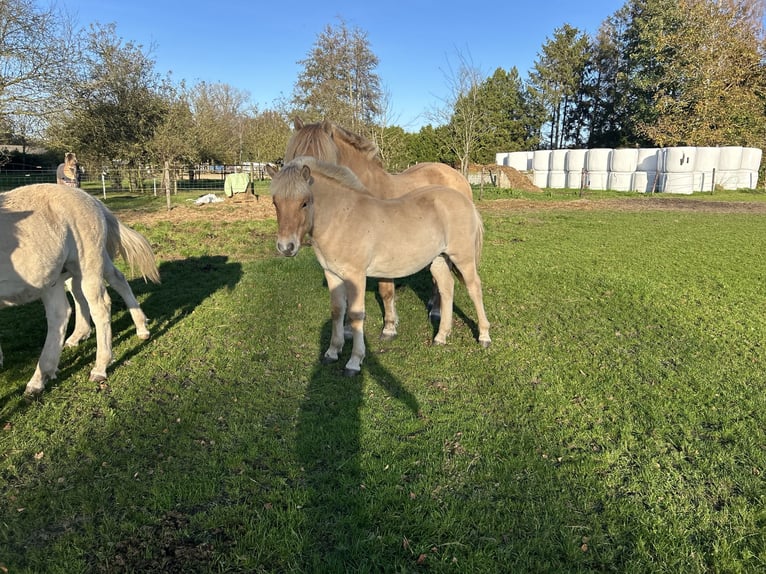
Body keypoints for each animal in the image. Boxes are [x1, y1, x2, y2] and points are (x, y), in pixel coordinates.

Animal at [0, 184, 159, 396]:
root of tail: (91, 200)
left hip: (88, 264)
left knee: (99, 306)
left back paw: (100, 367)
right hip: (57, 274)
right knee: (74, 305)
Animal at [268, 159, 488, 378]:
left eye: (304, 202)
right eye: (275, 202)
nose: (286, 247)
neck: (342, 218)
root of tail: (466, 200)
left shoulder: (356, 276)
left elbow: (356, 315)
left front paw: (354, 362)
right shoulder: (332, 274)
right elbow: (337, 311)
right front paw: (332, 352)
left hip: (463, 258)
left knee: (474, 289)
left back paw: (484, 336)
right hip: (439, 260)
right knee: (447, 288)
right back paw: (441, 337)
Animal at [284, 118, 474, 340]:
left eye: (319, 162)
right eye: (293, 158)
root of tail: (456, 175)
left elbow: (386, 291)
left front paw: (389, 327)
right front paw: (347, 329)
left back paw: (436, 310)